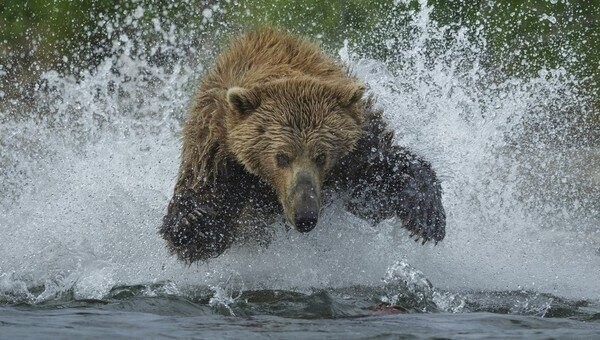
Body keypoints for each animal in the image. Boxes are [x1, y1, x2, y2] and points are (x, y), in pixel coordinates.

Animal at [159, 27, 446, 264]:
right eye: (281, 157)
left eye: (321, 156)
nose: (305, 216)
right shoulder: (216, 152)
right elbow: (203, 228)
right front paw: (193, 219)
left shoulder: (358, 148)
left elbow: (380, 181)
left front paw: (427, 217)